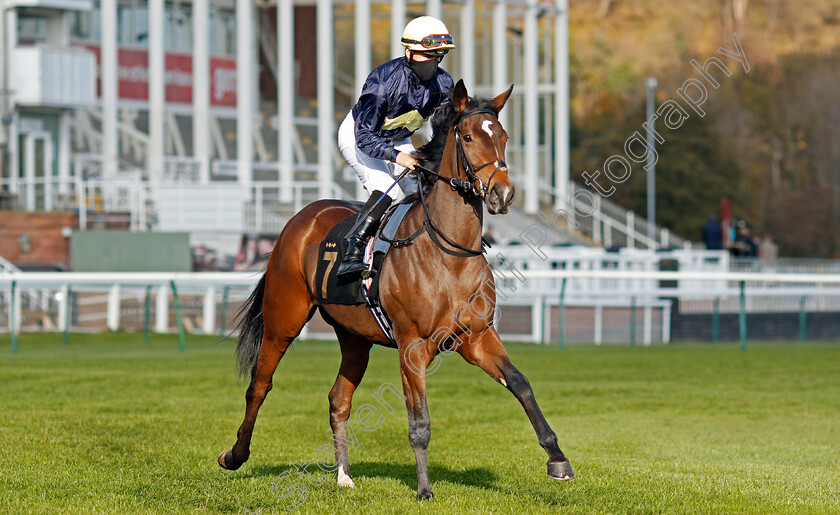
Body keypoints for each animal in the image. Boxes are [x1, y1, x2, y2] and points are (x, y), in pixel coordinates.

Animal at [217, 79, 576, 500]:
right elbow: (419, 423)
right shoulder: (413, 346)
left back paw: (343, 475)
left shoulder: (477, 336)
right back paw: (235, 455)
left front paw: (557, 459)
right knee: (259, 385)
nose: (502, 194)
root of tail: (300, 219)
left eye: (502, 137)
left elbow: (521, 384)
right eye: (469, 136)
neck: (449, 253)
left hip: (354, 338)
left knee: (338, 399)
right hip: (282, 319)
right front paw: (424, 489)